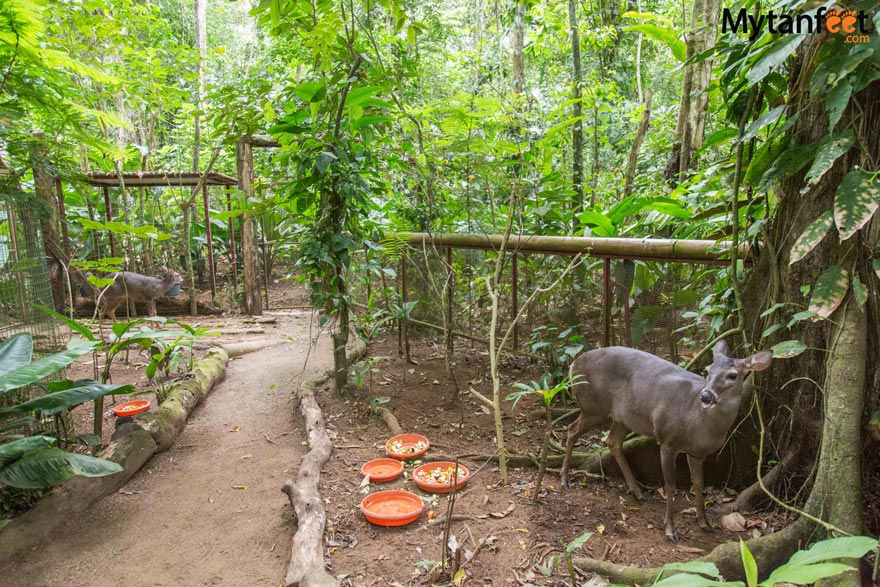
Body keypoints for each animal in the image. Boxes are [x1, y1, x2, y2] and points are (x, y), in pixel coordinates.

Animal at [560, 342, 772, 544]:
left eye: (733, 375)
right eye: (707, 370)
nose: (706, 396)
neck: (700, 425)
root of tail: (573, 364)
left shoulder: (697, 453)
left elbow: (699, 484)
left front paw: (705, 523)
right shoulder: (667, 439)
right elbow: (670, 484)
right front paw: (670, 530)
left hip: (625, 417)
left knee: (612, 441)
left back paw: (637, 491)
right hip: (593, 405)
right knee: (572, 430)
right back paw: (565, 480)